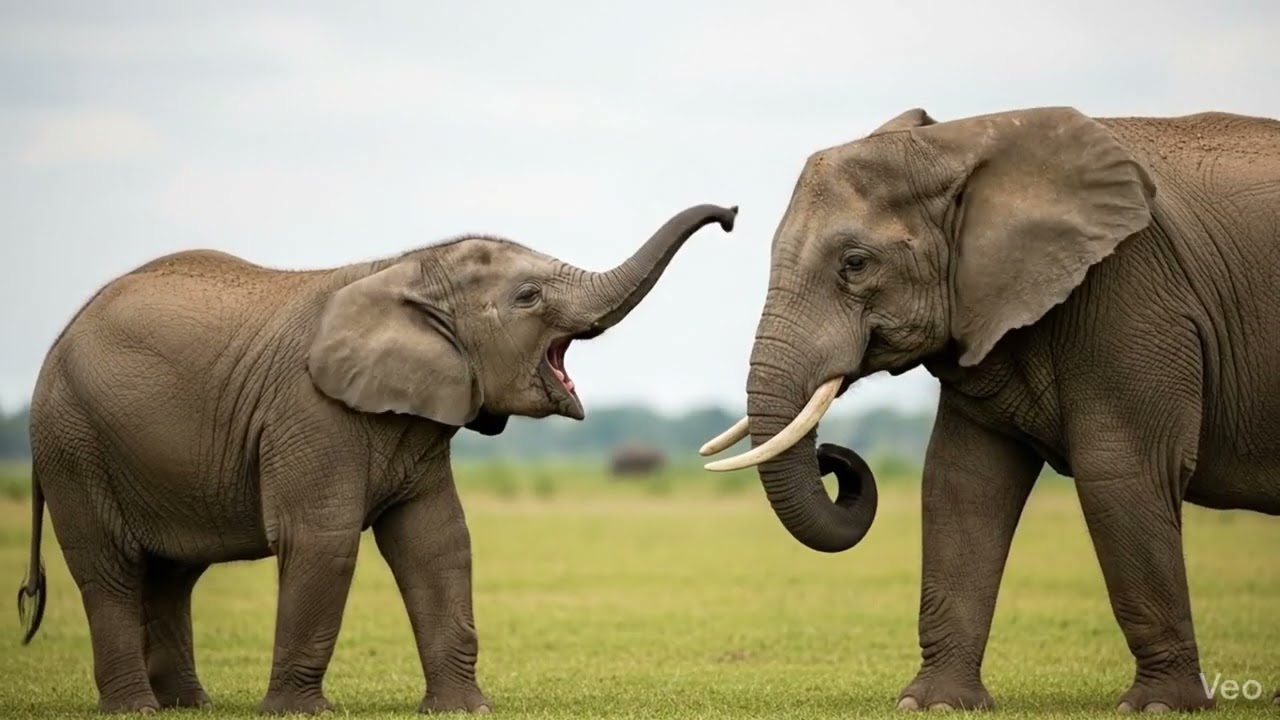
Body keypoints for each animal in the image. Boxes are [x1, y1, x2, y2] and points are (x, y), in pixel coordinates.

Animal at [16, 203, 737, 715]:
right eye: (528, 297)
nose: (732, 215)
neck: (406, 268)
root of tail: (55, 345)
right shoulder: (309, 411)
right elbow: (322, 540)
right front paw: (298, 714)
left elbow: (438, 542)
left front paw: (465, 711)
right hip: (73, 440)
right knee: (110, 569)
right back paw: (134, 709)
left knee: (172, 573)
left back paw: (187, 706)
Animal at [698, 106, 1280, 712]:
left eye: (855, 264)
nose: (834, 457)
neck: (962, 142)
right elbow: (962, 482)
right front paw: (935, 705)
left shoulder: (1133, 291)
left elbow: (1122, 473)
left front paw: (1159, 707)